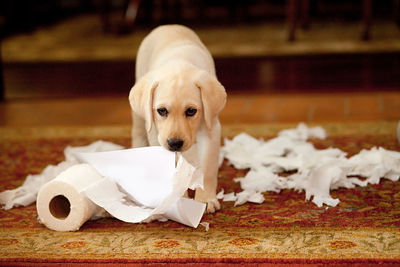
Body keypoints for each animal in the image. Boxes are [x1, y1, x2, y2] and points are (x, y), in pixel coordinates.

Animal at [130, 25, 227, 214]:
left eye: (191, 111)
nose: (175, 143)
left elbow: (208, 168)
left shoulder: (211, 129)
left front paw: (206, 199)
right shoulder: (157, 135)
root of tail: (168, 26)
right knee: (138, 133)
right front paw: (180, 201)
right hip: (140, 116)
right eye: (161, 111)